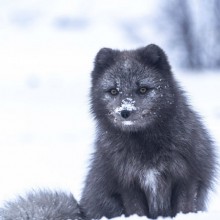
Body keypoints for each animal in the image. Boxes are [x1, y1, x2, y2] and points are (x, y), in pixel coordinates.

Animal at [0, 43, 217, 219]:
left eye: (143, 89)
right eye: (113, 91)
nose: (125, 112)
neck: (144, 145)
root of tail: (82, 211)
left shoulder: (186, 178)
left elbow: (184, 208)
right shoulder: (127, 184)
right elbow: (136, 210)